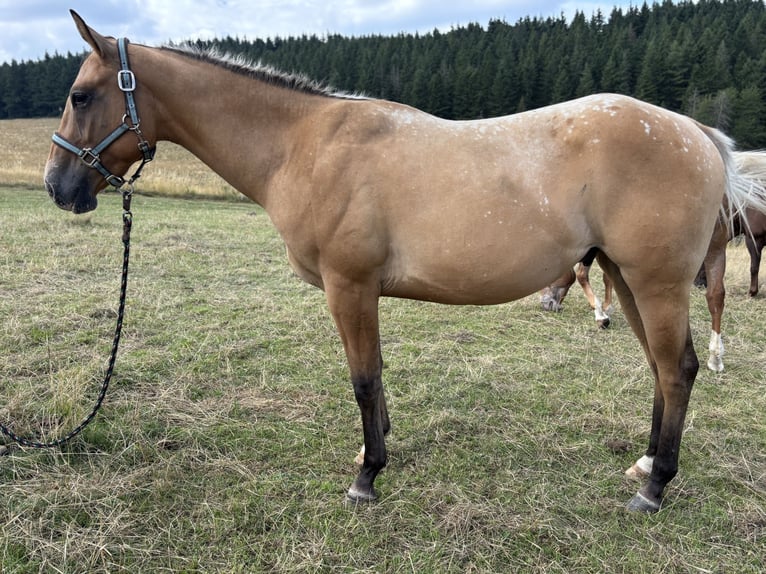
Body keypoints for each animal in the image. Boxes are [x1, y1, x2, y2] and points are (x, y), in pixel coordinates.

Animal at [44, 11, 766, 513]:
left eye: (81, 96)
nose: (58, 186)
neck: (303, 144)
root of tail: (697, 134)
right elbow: (376, 379)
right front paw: (376, 448)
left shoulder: (350, 286)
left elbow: (364, 379)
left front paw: (367, 476)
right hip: (630, 278)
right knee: (662, 371)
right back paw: (644, 466)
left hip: (656, 282)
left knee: (677, 371)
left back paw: (654, 487)